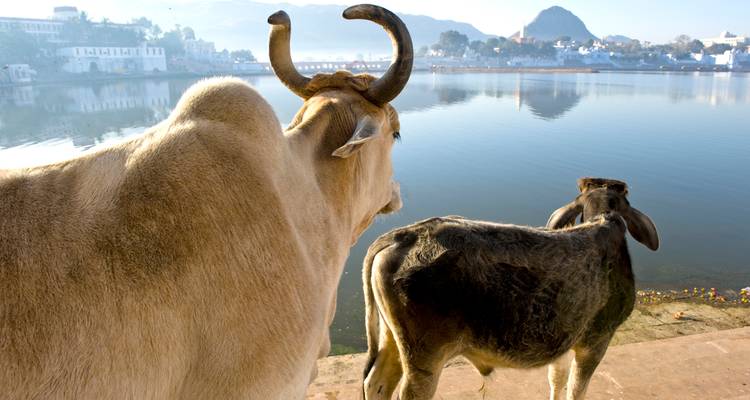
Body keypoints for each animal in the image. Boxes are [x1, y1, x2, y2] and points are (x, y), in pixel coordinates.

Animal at [361, 177, 659, 400]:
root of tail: (403, 235)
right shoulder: (597, 339)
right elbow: (576, 390)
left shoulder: (566, 339)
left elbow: (557, 381)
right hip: (425, 357)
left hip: (392, 339)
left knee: (376, 383)